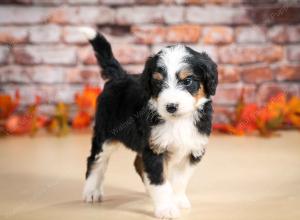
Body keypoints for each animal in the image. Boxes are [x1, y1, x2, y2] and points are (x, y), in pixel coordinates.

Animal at [79, 27, 218, 218]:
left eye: (188, 81)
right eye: (158, 82)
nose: (171, 106)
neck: (178, 121)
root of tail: (120, 76)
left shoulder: (193, 148)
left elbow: (180, 179)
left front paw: (178, 200)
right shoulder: (154, 148)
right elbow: (160, 181)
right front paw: (166, 208)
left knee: (138, 163)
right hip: (105, 133)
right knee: (95, 160)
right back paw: (92, 191)